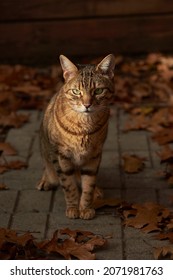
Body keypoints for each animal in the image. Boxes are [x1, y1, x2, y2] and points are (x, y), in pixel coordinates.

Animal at [36, 54, 115, 219]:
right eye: (76, 91)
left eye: (98, 91)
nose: (87, 104)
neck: (84, 127)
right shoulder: (61, 157)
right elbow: (69, 186)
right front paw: (73, 208)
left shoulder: (94, 156)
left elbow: (88, 185)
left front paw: (85, 207)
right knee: (50, 169)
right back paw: (46, 179)